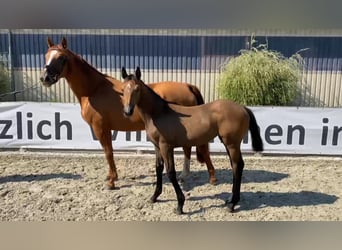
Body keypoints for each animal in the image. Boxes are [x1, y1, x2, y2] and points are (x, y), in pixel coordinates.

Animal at [40, 37, 216, 189]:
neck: (94, 89)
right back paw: (185, 175)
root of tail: (188, 86)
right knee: (188, 149)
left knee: (199, 148)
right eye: (46, 56)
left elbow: (108, 152)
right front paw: (111, 177)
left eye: (61, 58)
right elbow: (108, 152)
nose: (45, 78)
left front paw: (112, 181)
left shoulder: (101, 128)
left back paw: (211, 178)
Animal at [121, 67, 264, 214]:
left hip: (232, 144)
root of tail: (243, 108)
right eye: (122, 89)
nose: (127, 111)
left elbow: (170, 172)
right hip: (229, 144)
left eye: (137, 89)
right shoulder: (157, 146)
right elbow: (158, 168)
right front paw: (154, 197)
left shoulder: (166, 146)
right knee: (235, 166)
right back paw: (230, 200)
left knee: (237, 165)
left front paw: (180, 205)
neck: (159, 113)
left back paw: (232, 204)